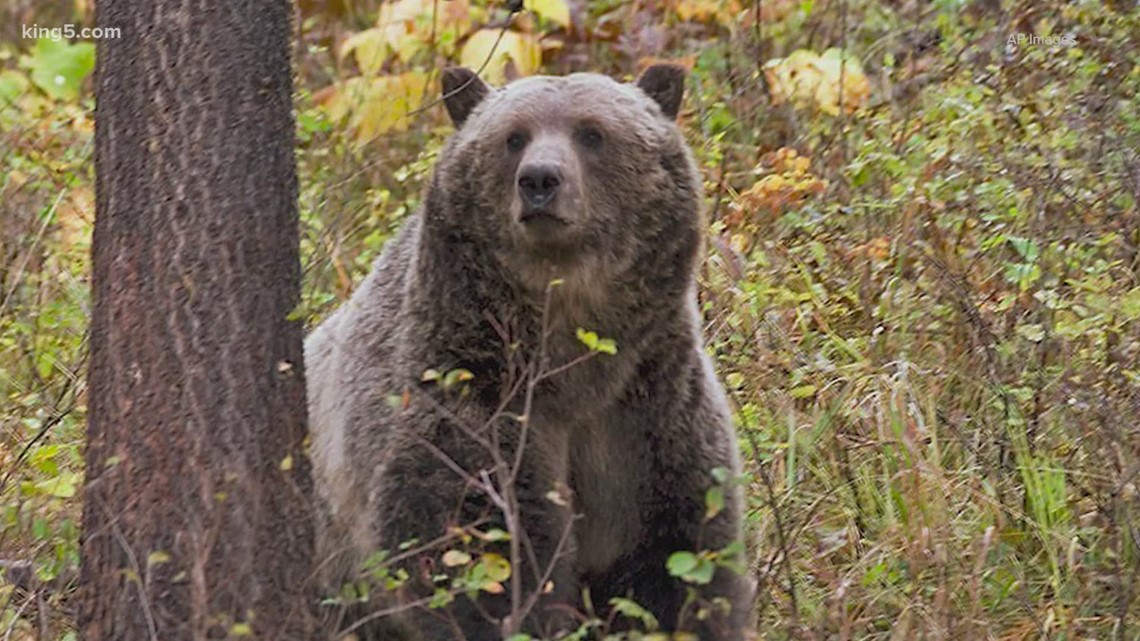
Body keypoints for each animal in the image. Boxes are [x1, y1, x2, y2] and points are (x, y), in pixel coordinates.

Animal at [303, 62, 752, 634]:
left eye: (591, 133)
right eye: (513, 137)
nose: (540, 180)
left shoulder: (647, 412)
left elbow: (678, 560)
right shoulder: (469, 394)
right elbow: (480, 554)